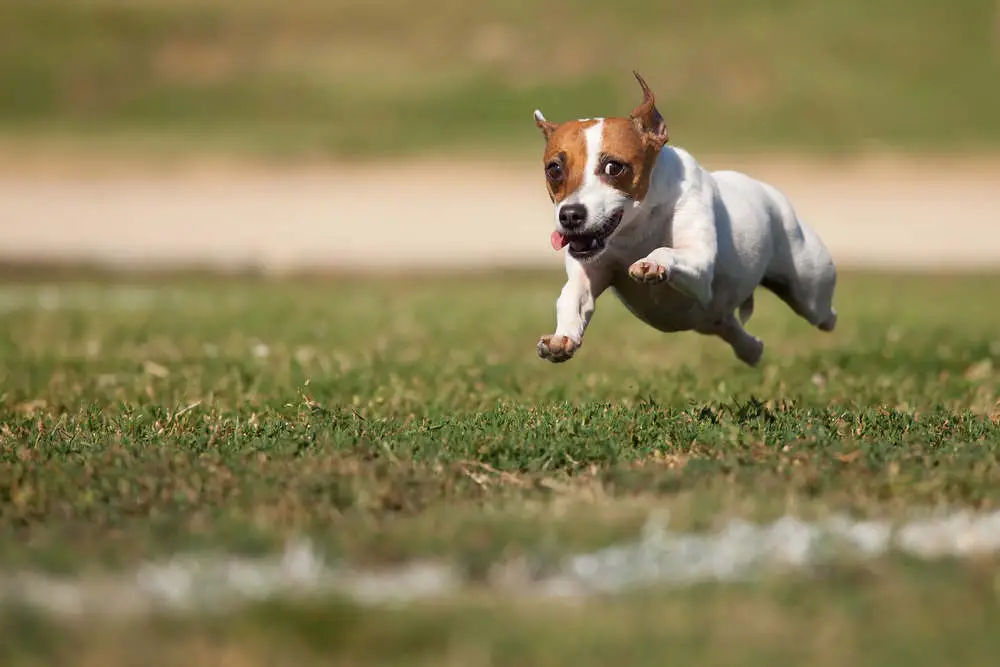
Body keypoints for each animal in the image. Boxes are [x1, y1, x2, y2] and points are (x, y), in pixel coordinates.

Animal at [536, 70, 840, 368]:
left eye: (614, 167)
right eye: (554, 169)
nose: (570, 215)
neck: (637, 228)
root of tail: (770, 193)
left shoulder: (700, 264)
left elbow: (668, 251)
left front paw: (652, 262)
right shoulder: (588, 273)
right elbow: (572, 298)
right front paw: (562, 339)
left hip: (810, 289)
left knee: (824, 314)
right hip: (712, 320)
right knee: (737, 334)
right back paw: (751, 349)